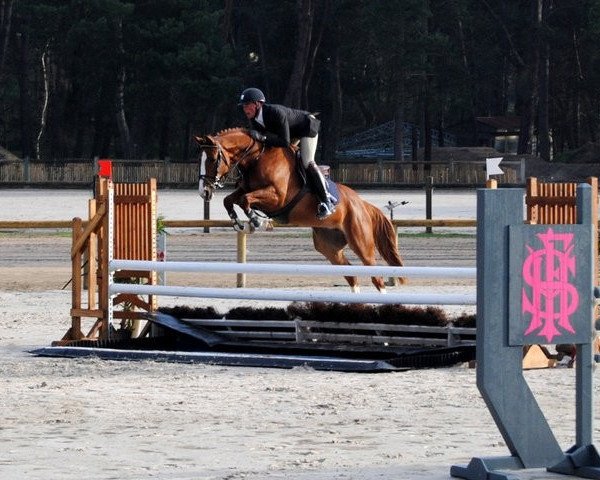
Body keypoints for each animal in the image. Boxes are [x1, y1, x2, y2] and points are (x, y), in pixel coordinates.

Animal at [195, 127, 406, 290]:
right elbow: (231, 200)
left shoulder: (277, 197)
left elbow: (245, 200)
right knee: (351, 276)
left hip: (361, 242)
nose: (204, 191)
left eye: (212, 159)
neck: (257, 158)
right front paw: (240, 223)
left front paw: (256, 220)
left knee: (376, 277)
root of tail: (362, 203)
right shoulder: (246, 190)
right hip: (329, 246)